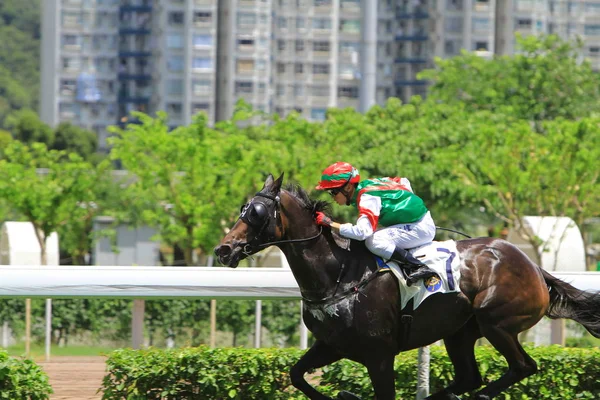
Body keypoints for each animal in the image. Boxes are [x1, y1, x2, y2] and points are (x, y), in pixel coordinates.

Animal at [214, 174, 600, 400]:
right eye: (242, 209)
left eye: (256, 213)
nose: (223, 249)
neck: (340, 274)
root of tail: (534, 267)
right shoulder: (332, 344)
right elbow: (297, 375)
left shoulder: (379, 353)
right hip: (460, 332)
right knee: (469, 378)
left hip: (497, 323)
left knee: (522, 368)